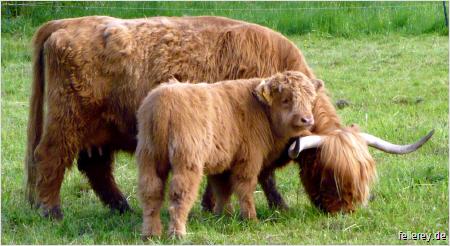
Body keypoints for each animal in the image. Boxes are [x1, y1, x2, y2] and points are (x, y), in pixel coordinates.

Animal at [137, 71, 324, 238]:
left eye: (311, 100)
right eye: (286, 100)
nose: (307, 119)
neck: (261, 111)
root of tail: (164, 97)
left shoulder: (222, 163)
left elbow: (222, 189)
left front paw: (224, 216)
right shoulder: (249, 159)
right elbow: (245, 189)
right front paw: (250, 219)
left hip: (149, 157)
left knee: (151, 192)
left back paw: (151, 234)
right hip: (187, 162)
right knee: (180, 194)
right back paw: (177, 233)